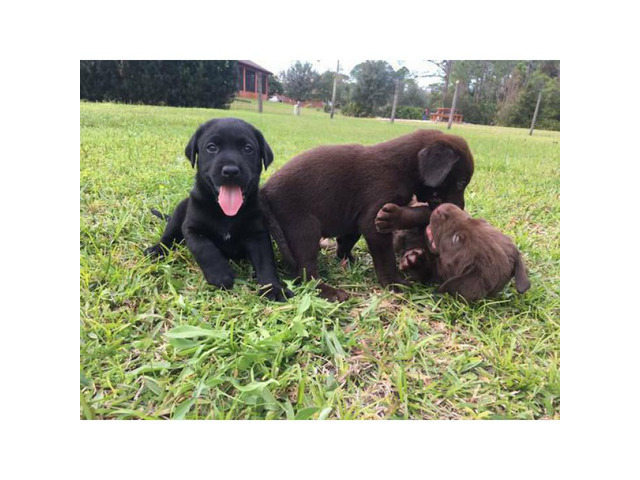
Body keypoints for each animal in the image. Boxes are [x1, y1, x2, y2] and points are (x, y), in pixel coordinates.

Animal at [144, 118, 292, 302]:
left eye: (248, 148)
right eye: (212, 147)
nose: (230, 171)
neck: (226, 213)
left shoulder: (258, 234)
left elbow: (265, 262)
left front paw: (273, 288)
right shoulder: (192, 229)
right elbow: (205, 249)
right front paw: (220, 275)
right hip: (178, 214)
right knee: (168, 236)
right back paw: (157, 250)